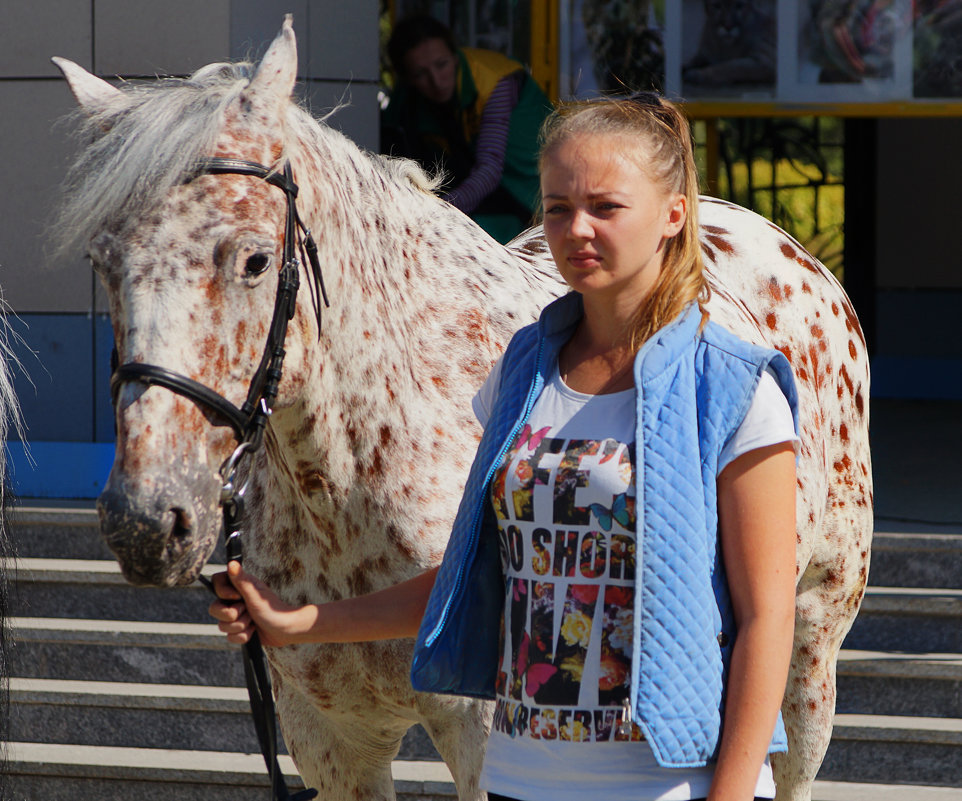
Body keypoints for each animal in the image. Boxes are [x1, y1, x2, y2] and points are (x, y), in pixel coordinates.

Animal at [54, 14, 872, 800]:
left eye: (255, 259)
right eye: (103, 262)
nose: (146, 521)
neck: (354, 474)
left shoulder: (481, 731)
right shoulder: (329, 739)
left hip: (811, 645)